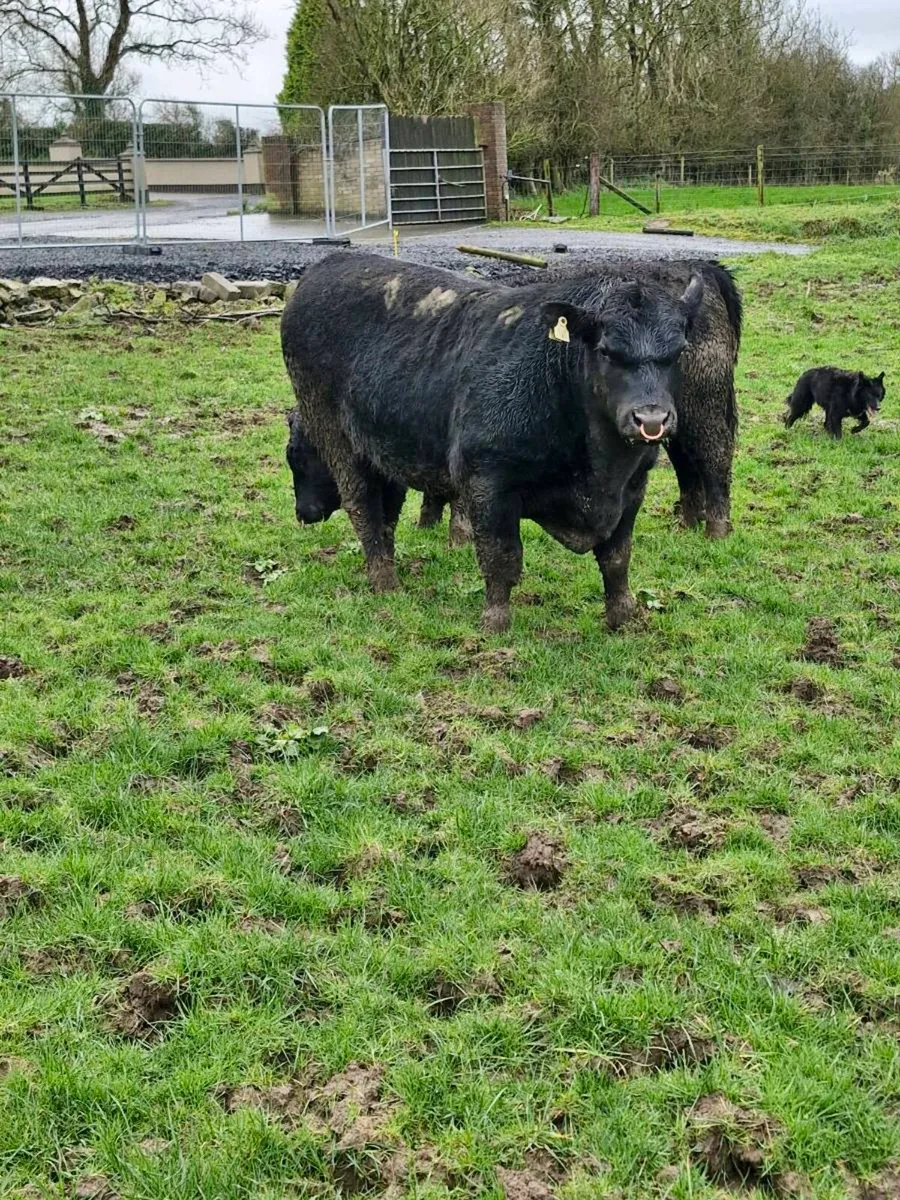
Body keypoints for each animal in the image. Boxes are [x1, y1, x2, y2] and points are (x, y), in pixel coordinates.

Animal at [281, 251, 705, 633]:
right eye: (605, 351)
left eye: (679, 351)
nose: (651, 420)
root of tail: (326, 265)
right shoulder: (488, 482)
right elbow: (501, 558)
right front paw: (495, 622)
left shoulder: (633, 486)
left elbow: (617, 557)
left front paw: (623, 618)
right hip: (337, 436)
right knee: (363, 506)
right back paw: (386, 584)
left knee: (387, 510)